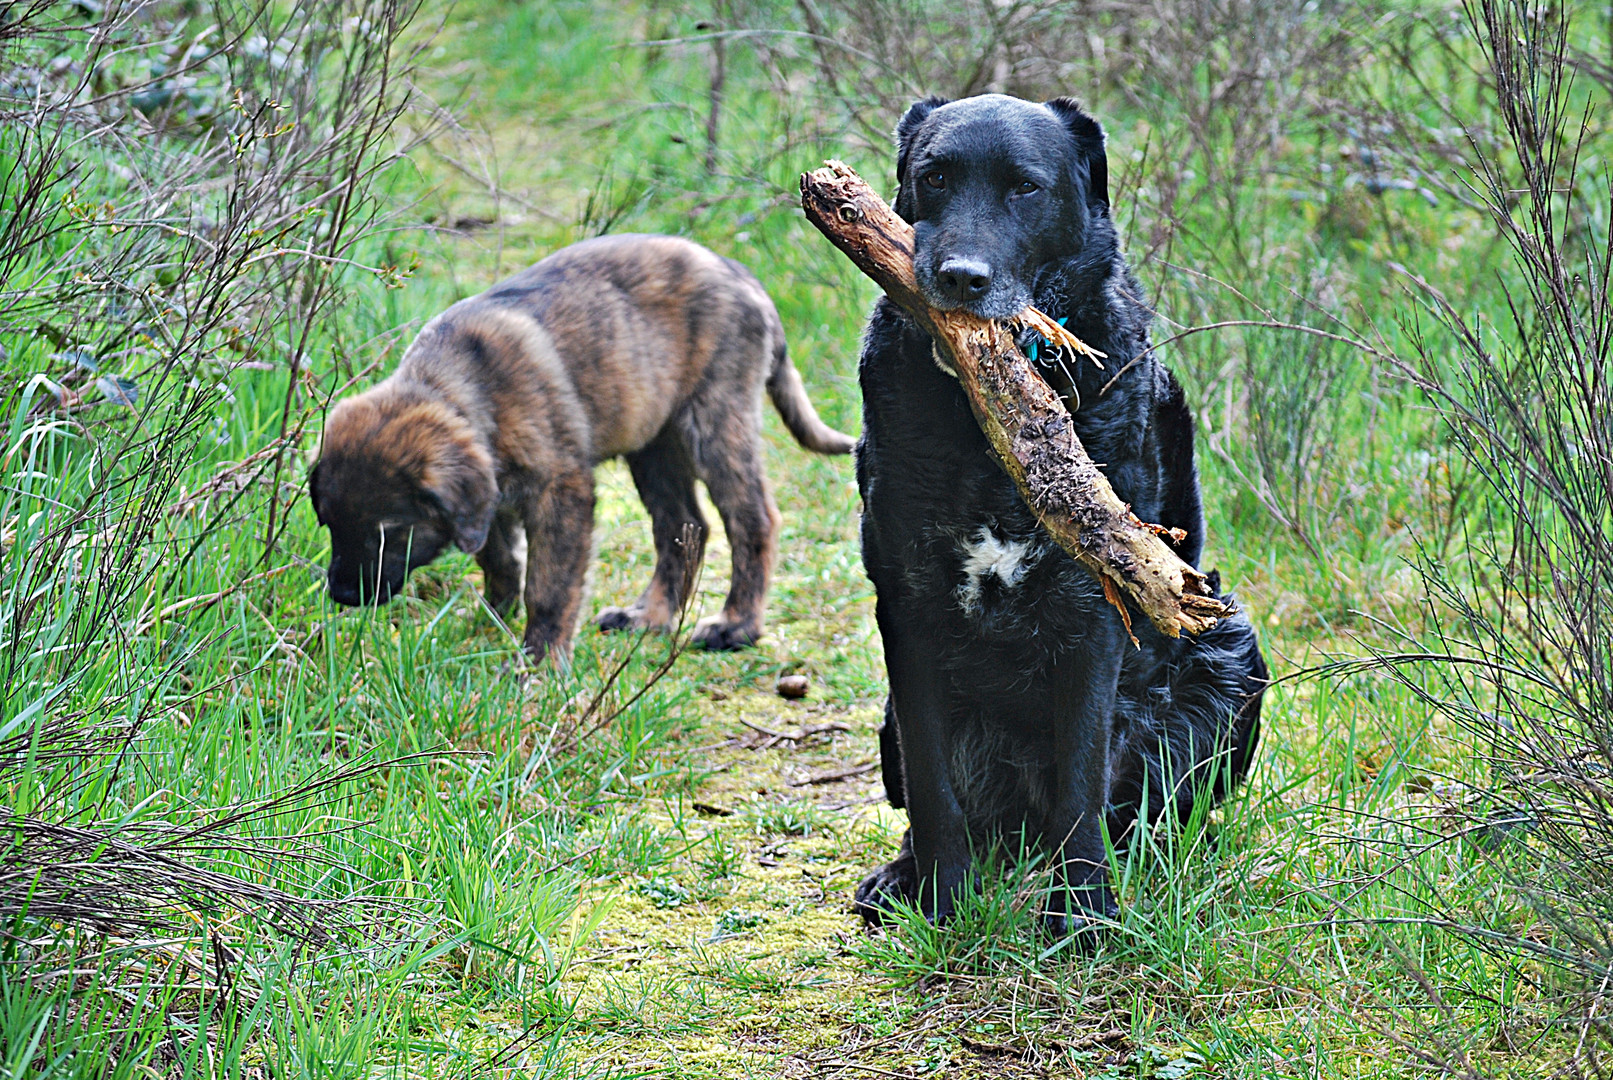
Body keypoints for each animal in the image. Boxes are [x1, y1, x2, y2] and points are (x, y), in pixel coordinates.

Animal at [306, 233, 851, 664]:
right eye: (327, 524)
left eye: (389, 533)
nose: (342, 593)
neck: (462, 388)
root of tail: (742, 275)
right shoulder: (490, 495)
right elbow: (500, 560)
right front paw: (490, 620)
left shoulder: (560, 492)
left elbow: (548, 586)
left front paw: (540, 663)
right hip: (653, 443)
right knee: (683, 526)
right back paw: (649, 616)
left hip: (716, 418)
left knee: (751, 519)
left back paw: (736, 626)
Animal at [851, 95, 1264, 941]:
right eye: (933, 177)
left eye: (1025, 188)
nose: (959, 279)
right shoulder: (904, 604)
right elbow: (933, 780)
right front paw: (942, 900)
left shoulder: (1098, 606)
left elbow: (1081, 775)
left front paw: (1083, 915)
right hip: (887, 720)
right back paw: (902, 875)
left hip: (1234, 651)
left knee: (1148, 811)